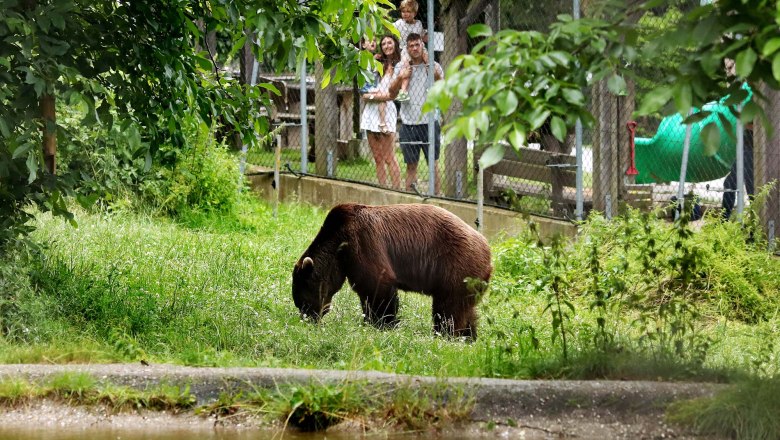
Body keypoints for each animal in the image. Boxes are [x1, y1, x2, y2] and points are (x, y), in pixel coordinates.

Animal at [292, 203, 492, 340]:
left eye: (303, 302)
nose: (308, 319)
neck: (339, 248)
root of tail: (488, 251)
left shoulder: (363, 243)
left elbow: (377, 286)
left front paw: (382, 324)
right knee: (467, 310)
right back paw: (469, 337)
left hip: (457, 267)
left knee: (448, 309)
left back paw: (445, 335)